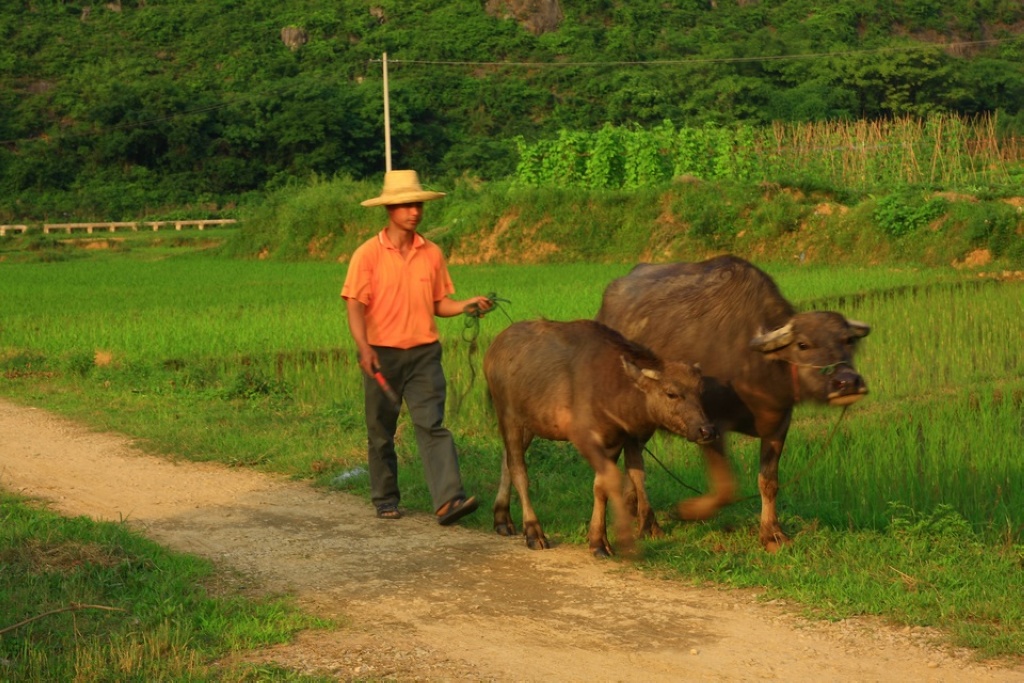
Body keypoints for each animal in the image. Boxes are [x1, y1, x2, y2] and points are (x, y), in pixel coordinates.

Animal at [483, 317, 716, 557]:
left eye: (700, 392)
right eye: (671, 393)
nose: (706, 430)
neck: (612, 386)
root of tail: (495, 346)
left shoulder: (616, 442)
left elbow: (604, 485)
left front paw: (598, 539)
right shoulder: (584, 438)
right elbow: (612, 480)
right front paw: (619, 538)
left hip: (530, 423)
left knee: (506, 461)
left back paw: (502, 519)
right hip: (509, 416)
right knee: (518, 469)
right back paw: (533, 531)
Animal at [593, 254, 872, 548]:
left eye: (848, 340)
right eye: (803, 345)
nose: (847, 382)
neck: (754, 365)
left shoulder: (778, 425)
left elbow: (769, 482)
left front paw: (772, 533)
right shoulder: (709, 426)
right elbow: (726, 488)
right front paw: (687, 511)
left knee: (634, 457)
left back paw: (634, 508)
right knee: (636, 466)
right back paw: (648, 523)